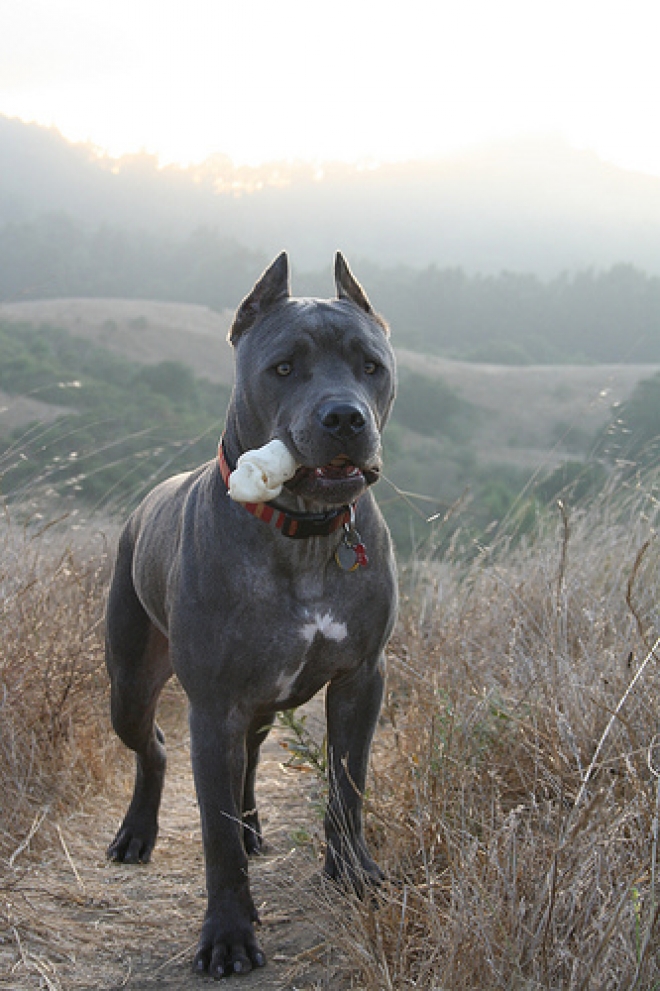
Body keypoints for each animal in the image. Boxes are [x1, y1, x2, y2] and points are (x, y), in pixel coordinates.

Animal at [105, 252, 398, 980]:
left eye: (370, 365)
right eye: (284, 367)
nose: (345, 417)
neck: (304, 532)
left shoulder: (361, 680)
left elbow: (347, 787)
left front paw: (352, 872)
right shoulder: (213, 707)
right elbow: (216, 837)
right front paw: (228, 935)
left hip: (261, 704)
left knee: (249, 762)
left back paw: (255, 824)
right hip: (130, 686)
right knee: (154, 747)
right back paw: (138, 832)